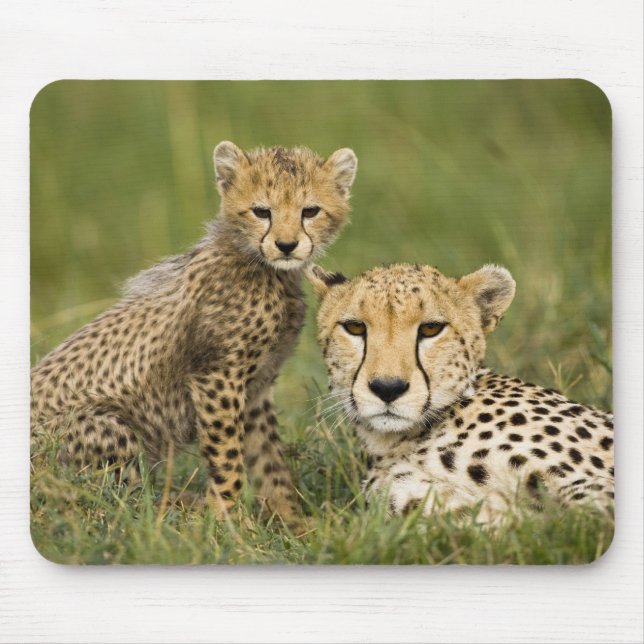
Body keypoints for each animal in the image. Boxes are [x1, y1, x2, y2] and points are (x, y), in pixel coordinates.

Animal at [31, 140, 358, 524]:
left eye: (310, 211)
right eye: (262, 212)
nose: (287, 245)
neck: (263, 268)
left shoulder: (256, 388)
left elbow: (268, 460)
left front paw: (289, 519)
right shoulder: (216, 378)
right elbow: (227, 456)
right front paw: (230, 521)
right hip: (104, 424)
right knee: (117, 503)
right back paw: (184, 508)